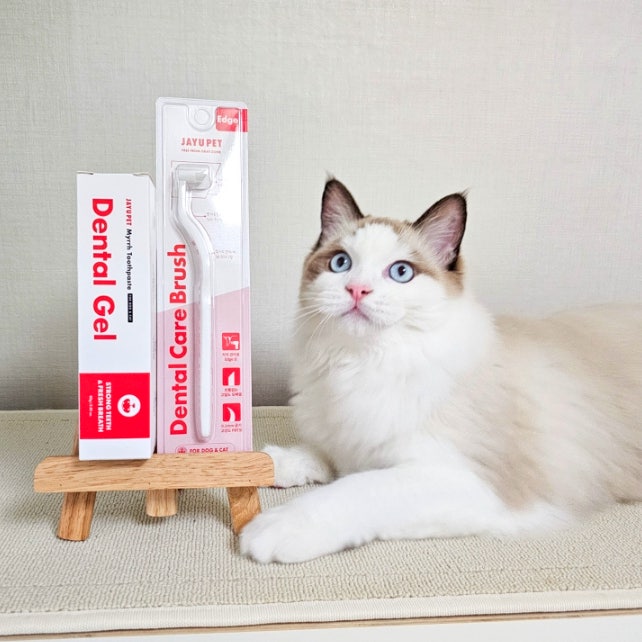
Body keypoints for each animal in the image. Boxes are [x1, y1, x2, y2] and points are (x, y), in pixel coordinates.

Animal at [239, 179, 641, 564]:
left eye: (401, 272)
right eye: (340, 263)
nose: (357, 289)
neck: (363, 364)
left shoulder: (464, 480)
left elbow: (355, 489)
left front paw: (274, 528)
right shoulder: (346, 445)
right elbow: (311, 455)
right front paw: (257, 465)